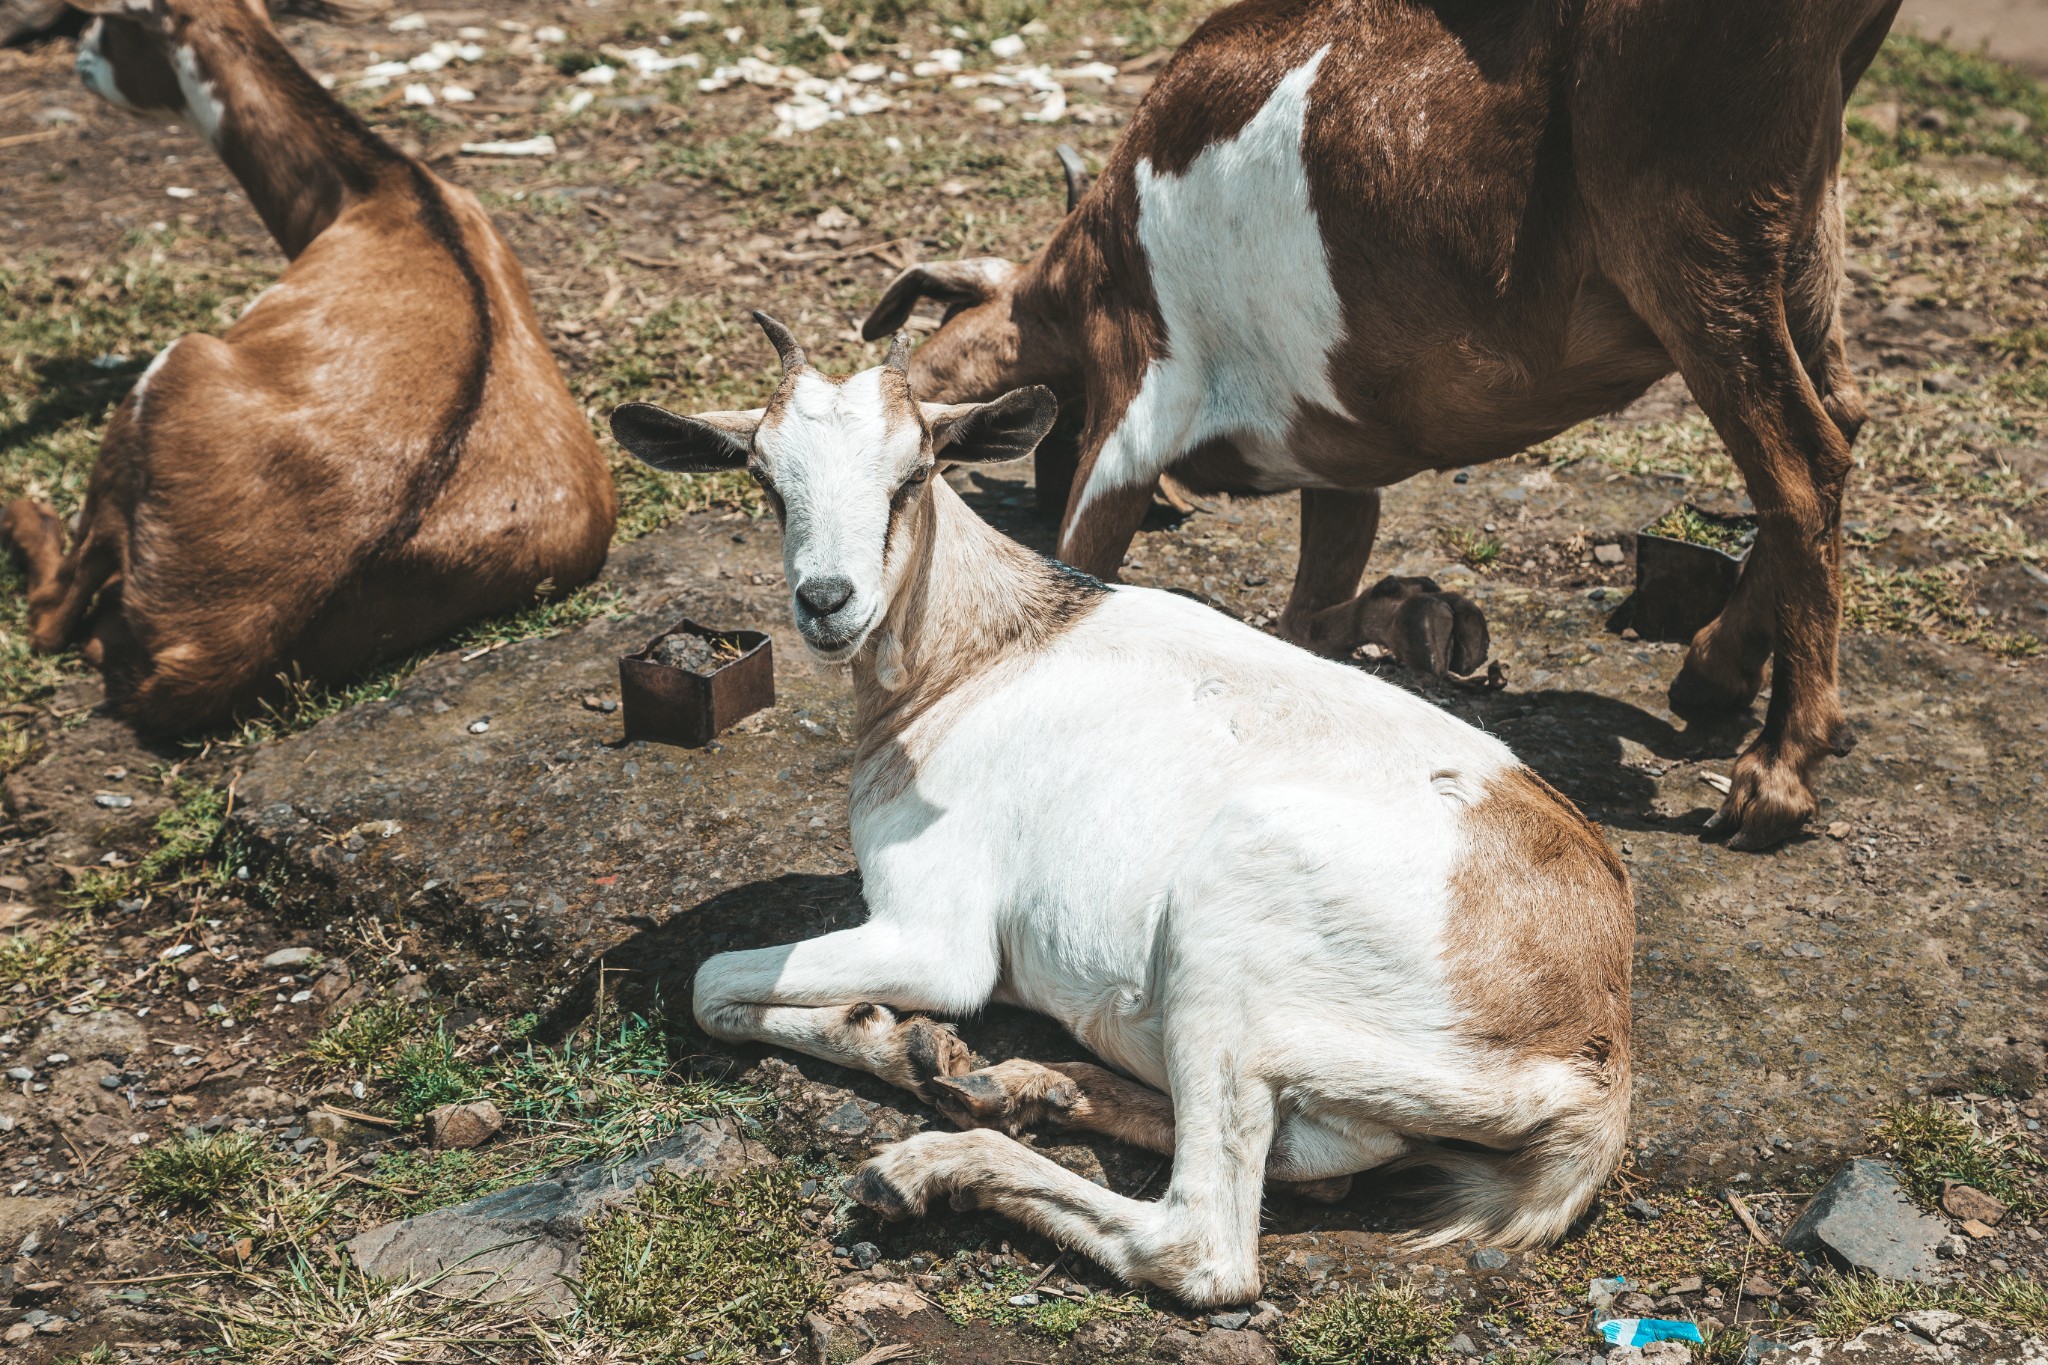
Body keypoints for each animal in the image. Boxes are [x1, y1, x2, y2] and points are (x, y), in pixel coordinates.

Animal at [6, 0, 614, 736]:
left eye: (107, 21)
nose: (81, 60)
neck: (381, 191)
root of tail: (219, 651)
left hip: (173, 370)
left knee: (53, 617)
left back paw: (25, 518)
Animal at [606, 315, 1630, 1309]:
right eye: (765, 479)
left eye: (914, 471)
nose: (827, 601)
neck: (989, 648)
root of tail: (1590, 1051)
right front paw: (910, 1043)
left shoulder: (934, 938)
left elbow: (709, 985)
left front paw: (902, 1042)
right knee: (1310, 1165)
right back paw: (1019, 1085)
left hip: (1233, 917)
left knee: (1205, 1244)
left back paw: (936, 1160)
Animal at [864, 0, 1900, 855]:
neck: (1082, 267)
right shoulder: (1335, 445)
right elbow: (1309, 611)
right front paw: (1417, 618)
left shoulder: (1139, 387)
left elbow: (1092, 561)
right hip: (1804, 214)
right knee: (1842, 420)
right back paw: (1716, 668)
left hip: (1687, 225)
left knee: (1799, 462)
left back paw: (1780, 768)